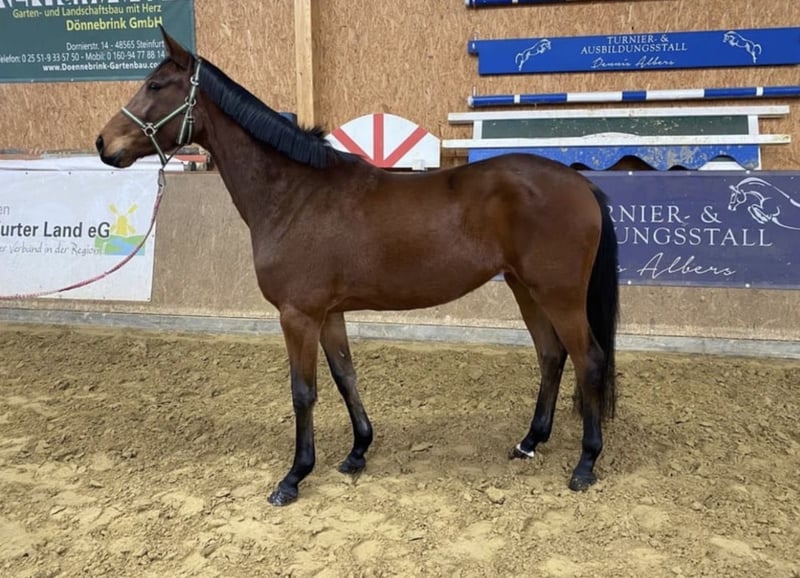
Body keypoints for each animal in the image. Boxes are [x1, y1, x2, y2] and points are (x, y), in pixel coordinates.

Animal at [96, 29, 620, 506]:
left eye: (156, 85)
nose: (104, 143)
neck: (295, 194)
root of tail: (580, 183)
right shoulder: (329, 313)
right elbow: (345, 375)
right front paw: (357, 452)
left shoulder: (298, 315)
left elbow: (303, 391)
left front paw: (294, 476)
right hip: (524, 287)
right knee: (551, 355)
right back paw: (530, 441)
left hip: (559, 294)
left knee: (589, 359)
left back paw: (586, 462)